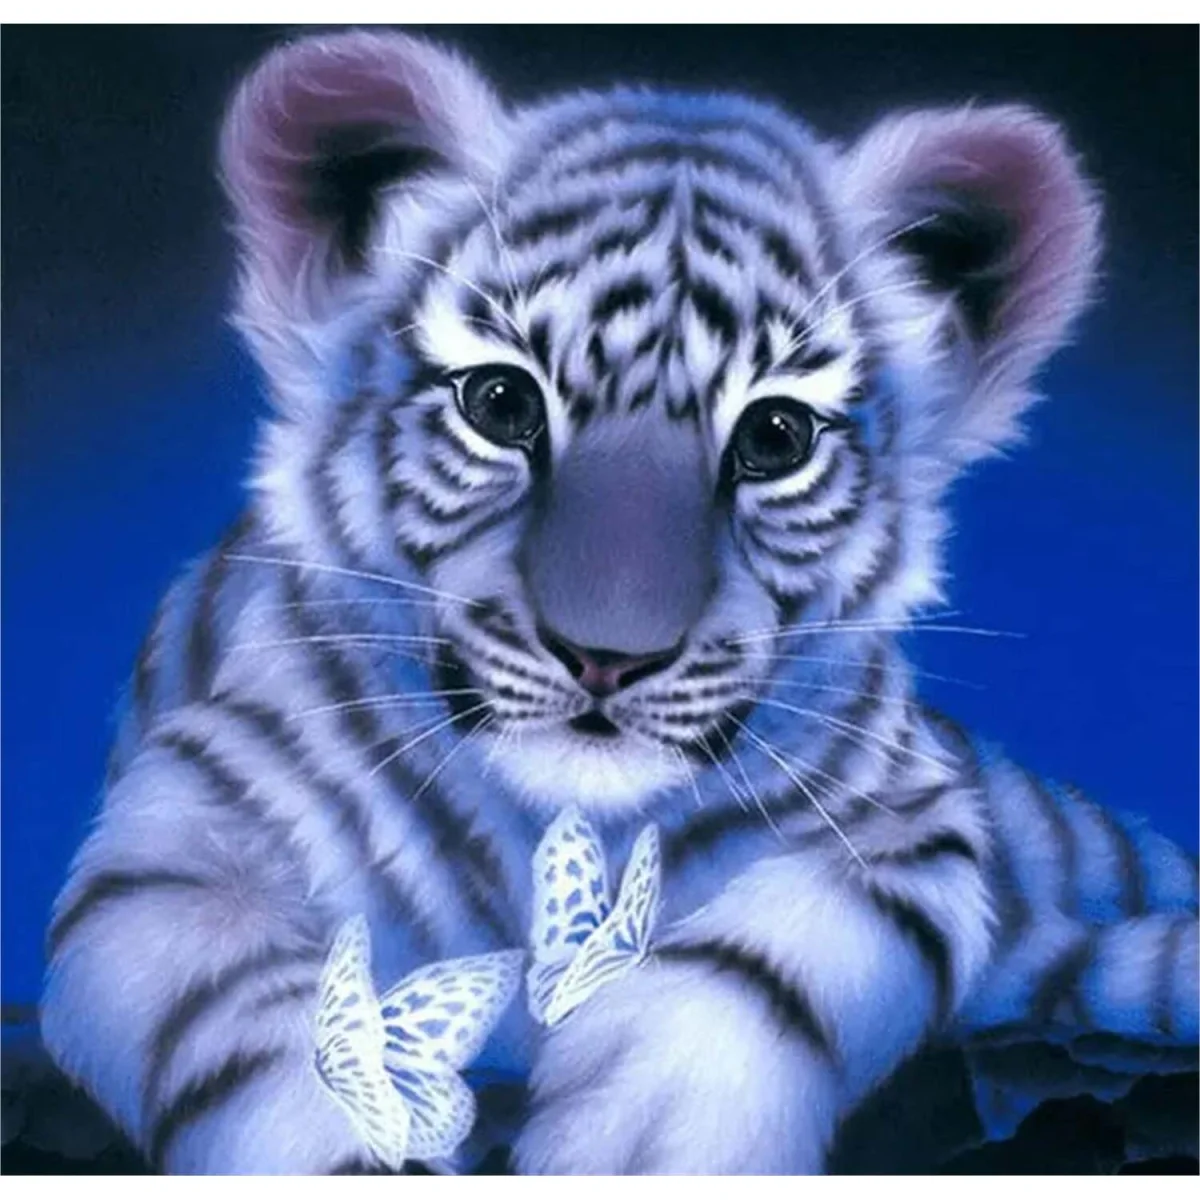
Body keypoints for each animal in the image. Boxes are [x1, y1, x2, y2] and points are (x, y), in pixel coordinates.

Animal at [40, 29, 1198, 1175]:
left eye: (775, 436)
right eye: (499, 403)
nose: (607, 656)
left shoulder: (913, 819)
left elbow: (772, 961)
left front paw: (639, 1139)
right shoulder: (175, 846)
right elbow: (275, 1033)